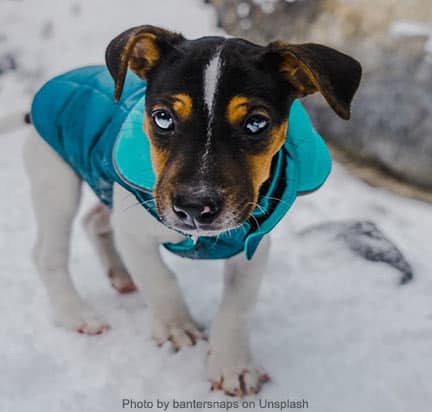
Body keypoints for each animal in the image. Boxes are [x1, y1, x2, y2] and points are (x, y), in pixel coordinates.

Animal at [23, 25, 362, 396]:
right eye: (162, 117)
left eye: (256, 123)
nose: (195, 207)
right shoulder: (134, 231)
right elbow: (160, 279)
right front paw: (177, 328)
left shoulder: (254, 245)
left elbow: (237, 306)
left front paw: (232, 365)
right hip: (55, 180)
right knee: (48, 253)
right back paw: (77, 315)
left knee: (94, 220)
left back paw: (121, 276)